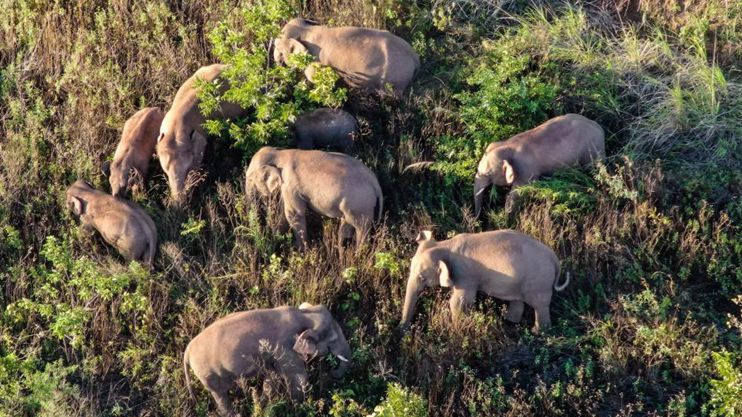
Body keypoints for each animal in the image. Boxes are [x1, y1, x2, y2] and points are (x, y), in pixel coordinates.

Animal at [183, 303, 351, 416]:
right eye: (333, 340)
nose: (331, 372)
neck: (304, 314)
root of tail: (187, 351)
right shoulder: (285, 347)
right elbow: (298, 378)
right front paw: (300, 408)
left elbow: (273, 377)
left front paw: (262, 405)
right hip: (207, 373)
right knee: (221, 394)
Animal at [245, 147, 383, 248]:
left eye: (250, 179)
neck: (278, 152)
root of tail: (375, 182)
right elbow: (284, 213)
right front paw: (279, 237)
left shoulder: (290, 185)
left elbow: (294, 214)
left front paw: (300, 250)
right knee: (347, 225)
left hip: (360, 205)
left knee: (361, 229)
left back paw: (358, 254)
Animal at [273, 18, 420, 94]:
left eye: (278, 48)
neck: (307, 30)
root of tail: (415, 57)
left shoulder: (315, 64)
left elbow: (315, 79)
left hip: (397, 79)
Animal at [399, 229, 569, 334]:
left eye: (421, 277)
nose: (403, 329)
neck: (445, 245)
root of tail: (555, 259)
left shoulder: (466, 275)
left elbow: (459, 302)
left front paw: (457, 329)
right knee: (518, 300)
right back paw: (510, 322)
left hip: (539, 282)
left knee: (540, 305)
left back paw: (538, 332)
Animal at [474, 114, 605, 216]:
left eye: (488, 175)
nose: (478, 219)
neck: (508, 145)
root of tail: (599, 127)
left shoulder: (526, 171)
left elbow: (517, 193)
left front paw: (507, 218)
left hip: (592, 151)